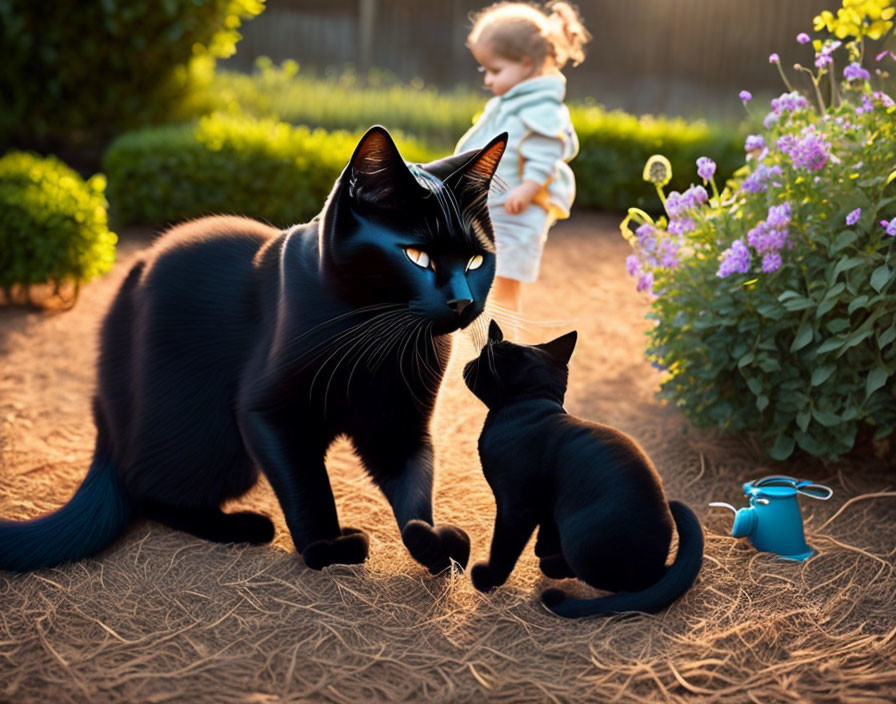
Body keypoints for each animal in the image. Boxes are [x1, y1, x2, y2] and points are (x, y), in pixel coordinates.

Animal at [0, 126, 508, 576]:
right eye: (416, 256)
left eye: (475, 261)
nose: (462, 301)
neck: (379, 344)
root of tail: (105, 418)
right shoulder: (268, 412)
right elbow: (307, 485)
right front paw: (327, 547)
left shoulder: (400, 420)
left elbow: (414, 483)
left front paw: (431, 541)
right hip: (212, 441)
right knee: (146, 487)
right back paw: (246, 526)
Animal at [466, 322, 704, 620]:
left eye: (480, 360)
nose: (468, 364)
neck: (530, 403)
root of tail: (660, 569)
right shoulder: (548, 505)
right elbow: (546, 530)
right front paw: (542, 547)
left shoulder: (515, 507)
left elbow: (503, 548)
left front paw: (488, 579)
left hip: (577, 532)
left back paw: (553, 566)